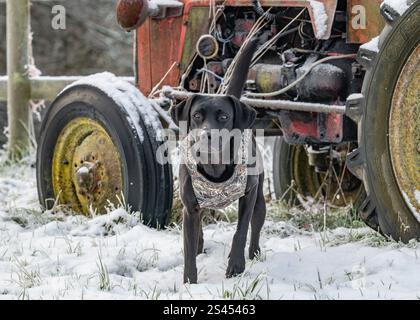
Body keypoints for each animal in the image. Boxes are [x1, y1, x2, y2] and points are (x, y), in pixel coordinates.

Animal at [171, 38, 266, 282]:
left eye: (223, 116)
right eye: (196, 116)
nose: (207, 135)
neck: (214, 165)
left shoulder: (249, 194)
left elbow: (240, 231)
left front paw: (236, 265)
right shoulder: (190, 207)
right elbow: (188, 247)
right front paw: (190, 282)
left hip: (259, 199)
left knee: (255, 225)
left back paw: (254, 253)